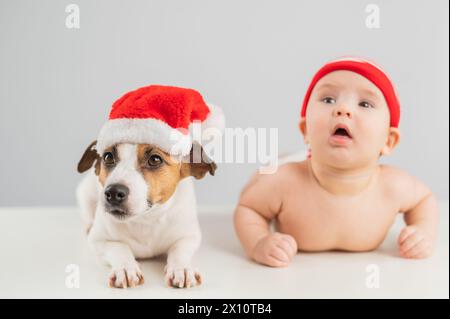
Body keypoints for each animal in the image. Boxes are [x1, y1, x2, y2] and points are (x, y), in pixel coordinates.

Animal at [76, 141, 216, 290]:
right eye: (108, 157)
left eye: (155, 159)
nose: (113, 192)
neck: (146, 219)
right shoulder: (98, 240)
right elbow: (119, 247)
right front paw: (126, 268)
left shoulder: (189, 237)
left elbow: (178, 249)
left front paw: (181, 269)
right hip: (85, 194)